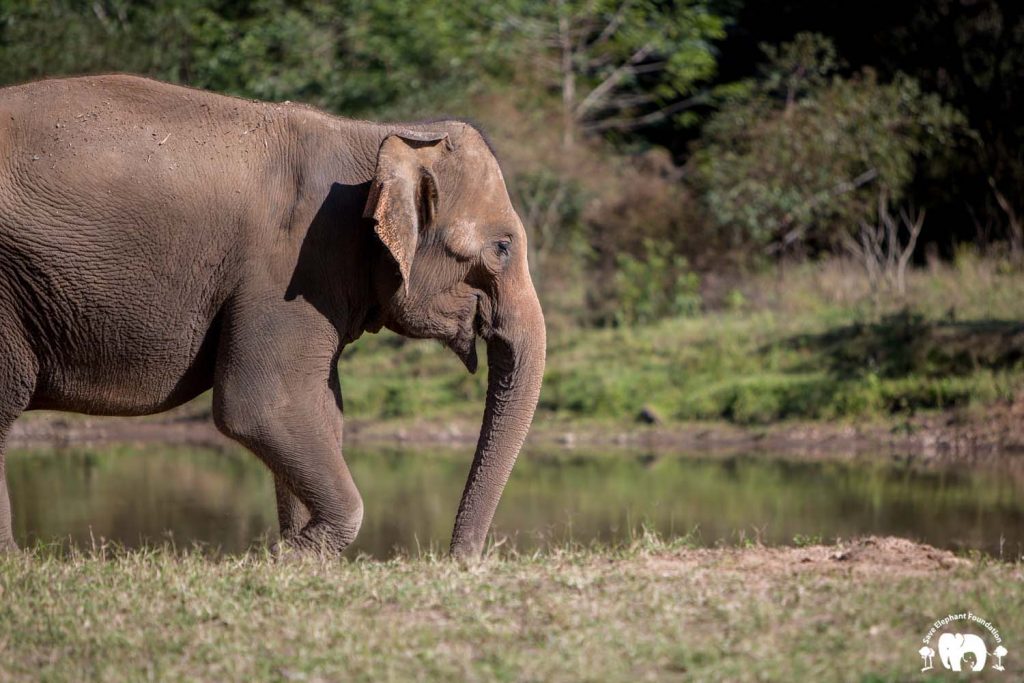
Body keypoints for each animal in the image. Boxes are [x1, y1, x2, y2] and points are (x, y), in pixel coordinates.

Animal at [0, 74, 544, 557]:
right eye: (502, 247)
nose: (460, 558)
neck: (381, 135)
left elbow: (319, 408)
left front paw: (297, 551)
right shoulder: (289, 265)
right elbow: (262, 403)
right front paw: (290, 554)